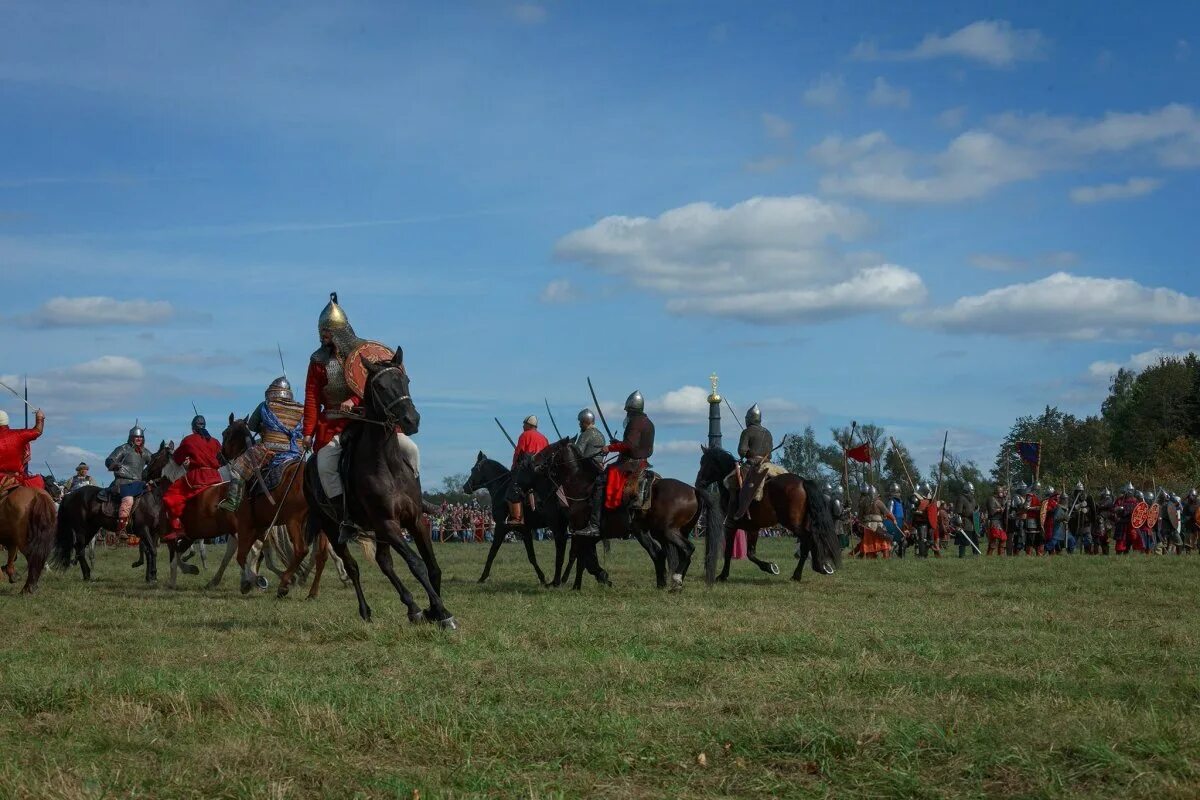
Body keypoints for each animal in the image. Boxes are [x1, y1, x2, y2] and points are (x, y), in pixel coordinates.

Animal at [52, 441, 175, 585]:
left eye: (154, 457)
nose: (144, 474)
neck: (153, 497)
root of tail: (69, 495)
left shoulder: (153, 532)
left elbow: (150, 552)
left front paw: (151, 577)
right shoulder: (144, 529)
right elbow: (152, 551)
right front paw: (153, 576)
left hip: (91, 529)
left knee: (80, 548)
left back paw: (87, 574)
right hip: (81, 529)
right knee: (80, 548)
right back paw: (87, 574)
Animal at [307, 350, 456, 633]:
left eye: (406, 380)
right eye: (380, 386)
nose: (411, 420)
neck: (387, 463)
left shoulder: (414, 520)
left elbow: (432, 566)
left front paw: (433, 609)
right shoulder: (388, 523)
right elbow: (416, 564)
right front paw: (442, 611)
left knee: (384, 562)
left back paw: (413, 608)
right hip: (333, 528)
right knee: (354, 567)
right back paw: (367, 610)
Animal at [460, 455, 568, 587]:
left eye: (473, 469)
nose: (465, 487)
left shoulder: (501, 527)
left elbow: (492, 552)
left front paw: (483, 577)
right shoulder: (525, 531)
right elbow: (531, 556)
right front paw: (542, 578)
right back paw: (563, 578)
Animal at [525, 434, 720, 592]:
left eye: (551, 448)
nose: (533, 461)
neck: (582, 484)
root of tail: (693, 490)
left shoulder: (581, 531)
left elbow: (580, 557)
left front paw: (572, 584)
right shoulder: (589, 536)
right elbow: (584, 559)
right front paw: (583, 583)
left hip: (667, 531)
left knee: (687, 549)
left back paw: (676, 580)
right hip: (652, 531)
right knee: (661, 553)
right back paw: (665, 584)